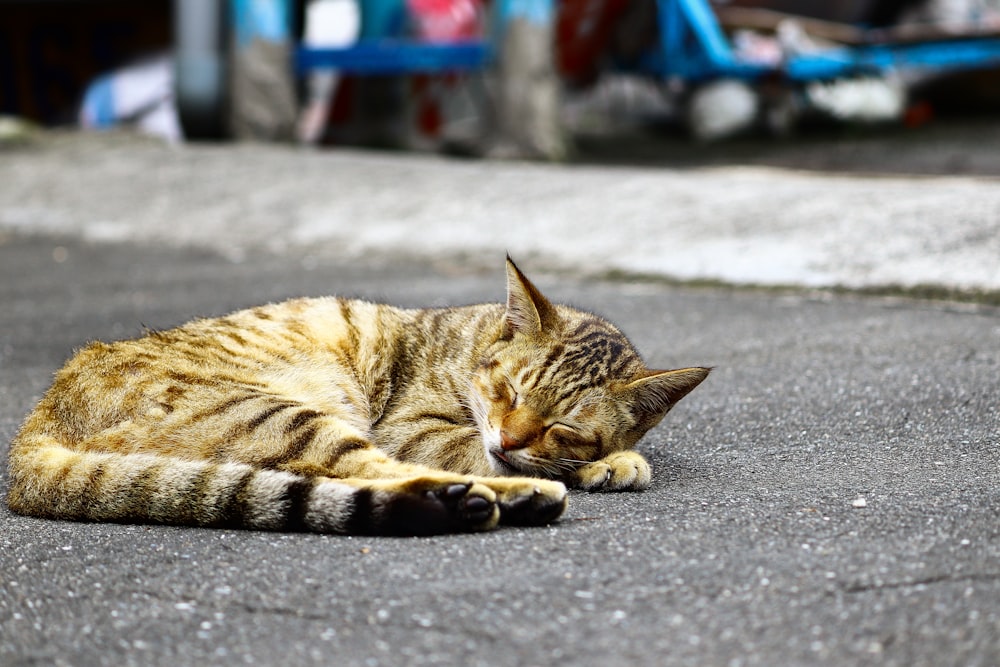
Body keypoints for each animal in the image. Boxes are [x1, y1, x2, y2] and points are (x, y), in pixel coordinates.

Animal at [9, 258, 712, 536]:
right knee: (380, 472)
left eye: (563, 424)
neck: (471, 340)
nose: (511, 436)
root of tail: (35, 426)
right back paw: (514, 496)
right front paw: (600, 464)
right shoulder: (414, 425)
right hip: (289, 415)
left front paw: (605, 459)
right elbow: (469, 447)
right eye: (507, 389)